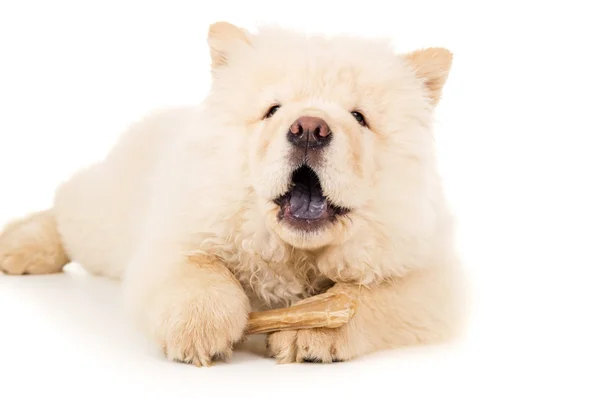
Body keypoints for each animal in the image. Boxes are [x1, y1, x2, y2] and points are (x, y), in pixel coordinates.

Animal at [0, 21, 464, 364]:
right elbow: (200, 271)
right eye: (273, 110)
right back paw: (18, 248)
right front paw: (199, 329)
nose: (309, 128)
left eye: (359, 117)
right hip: (104, 221)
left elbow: (369, 296)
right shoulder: (174, 238)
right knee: (66, 207)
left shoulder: (431, 275)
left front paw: (308, 327)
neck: (295, 256)